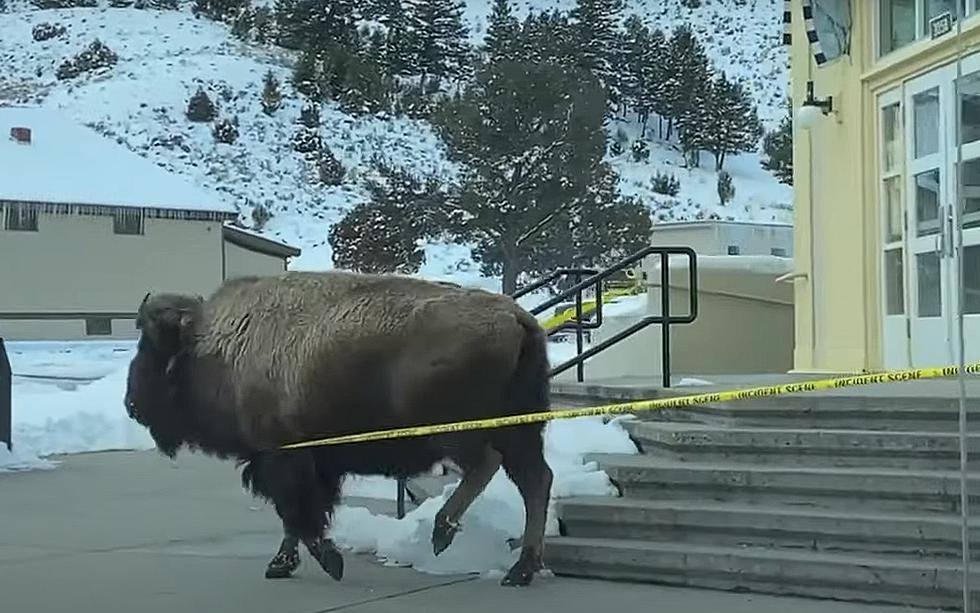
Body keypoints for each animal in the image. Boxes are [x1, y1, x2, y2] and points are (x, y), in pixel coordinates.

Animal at [124, 270, 552, 584]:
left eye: (151, 347)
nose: (131, 404)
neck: (216, 343)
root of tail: (516, 317)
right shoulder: (308, 462)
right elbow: (296, 516)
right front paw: (281, 565)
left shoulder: (283, 456)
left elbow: (299, 514)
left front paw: (329, 562)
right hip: (520, 432)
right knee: (535, 480)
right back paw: (521, 569)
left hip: (456, 432)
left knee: (488, 466)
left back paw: (442, 533)